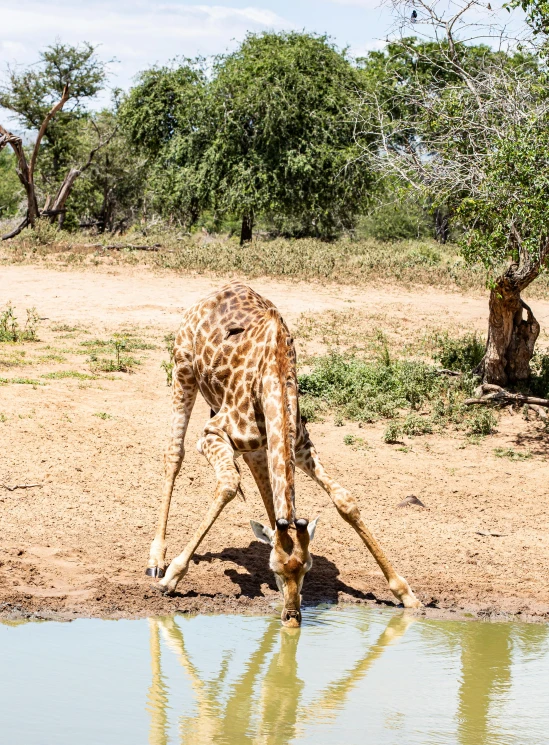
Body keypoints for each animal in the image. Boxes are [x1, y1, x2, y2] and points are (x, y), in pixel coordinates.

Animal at [146, 282, 420, 624]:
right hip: (182, 369)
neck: (274, 373)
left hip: (257, 441)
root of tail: (218, 290)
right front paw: (172, 576)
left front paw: (406, 593)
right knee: (174, 453)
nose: (292, 616)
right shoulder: (212, 434)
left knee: (261, 479)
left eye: (306, 569)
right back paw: (156, 560)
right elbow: (228, 485)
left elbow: (345, 501)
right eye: (275, 568)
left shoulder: (300, 444)